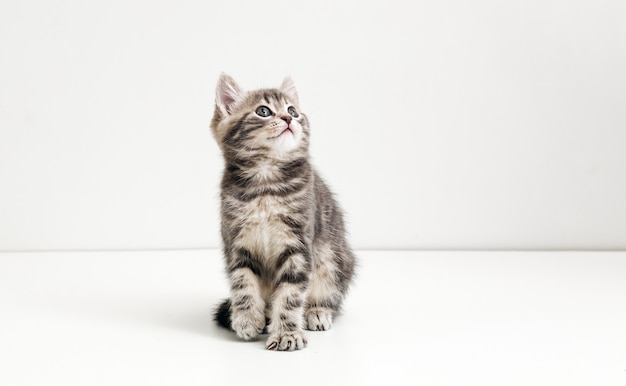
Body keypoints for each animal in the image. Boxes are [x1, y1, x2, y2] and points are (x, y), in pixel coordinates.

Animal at [211, 74, 354, 352]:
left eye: (293, 110)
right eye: (263, 111)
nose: (289, 119)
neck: (265, 183)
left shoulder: (299, 245)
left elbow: (290, 294)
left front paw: (288, 333)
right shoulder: (237, 242)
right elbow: (243, 283)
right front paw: (246, 318)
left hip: (335, 258)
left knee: (329, 294)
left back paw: (317, 311)